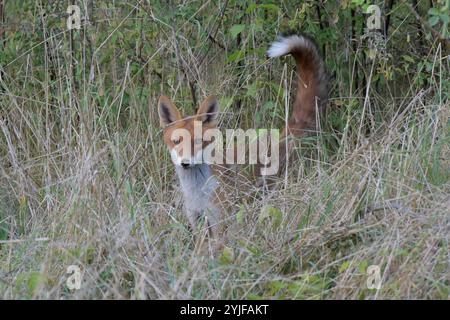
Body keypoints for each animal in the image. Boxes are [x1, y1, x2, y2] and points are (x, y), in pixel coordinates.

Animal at [156, 34, 326, 240]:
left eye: (198, 142)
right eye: (177, 141)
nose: (185, 163)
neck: (198, 192)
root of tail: (280, 137)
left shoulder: (220, 223)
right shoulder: (197, 222)